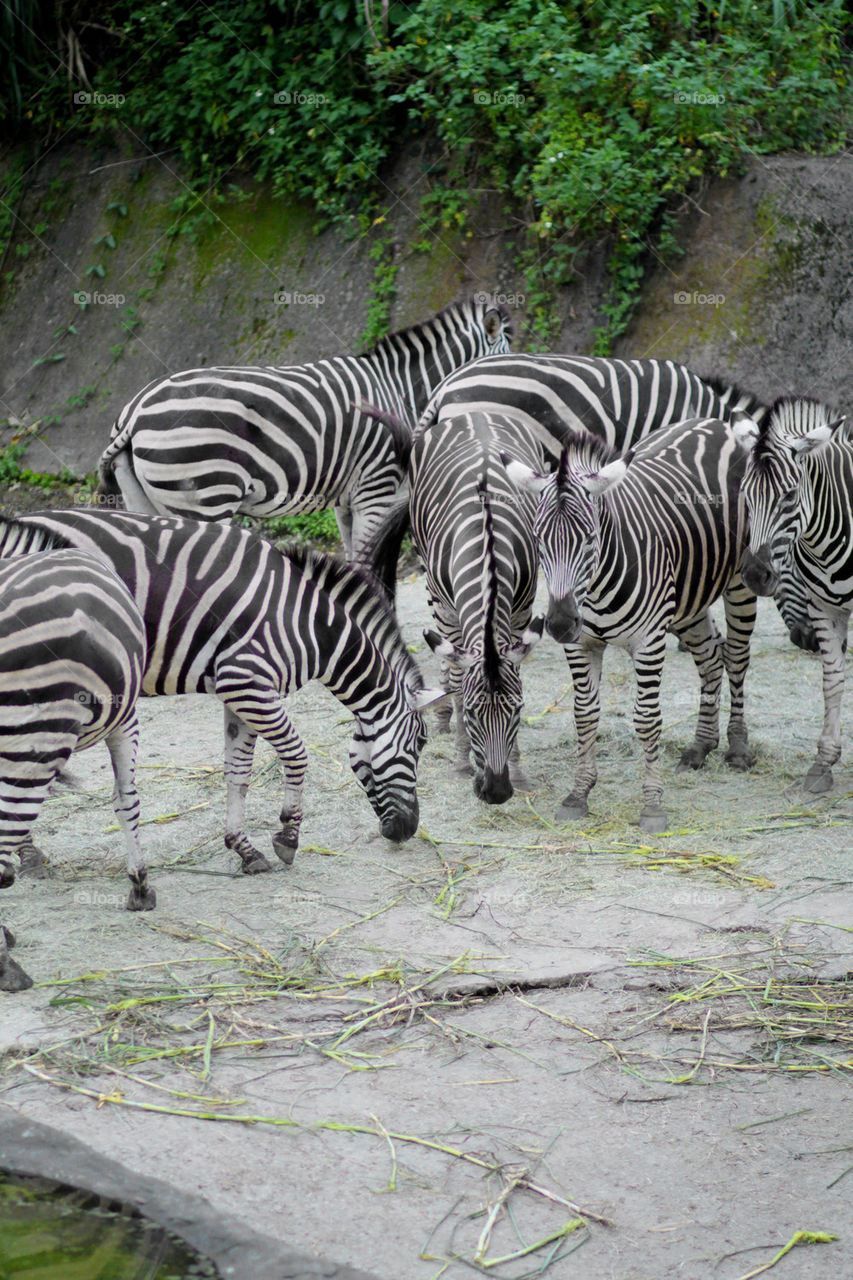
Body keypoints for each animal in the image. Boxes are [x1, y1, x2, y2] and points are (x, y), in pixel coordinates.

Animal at [0, 510, 442, 875]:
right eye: (419, 744)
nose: (407, 831)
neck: (313, 626)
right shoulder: (247, 681)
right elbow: (296, 755)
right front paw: (287, 838)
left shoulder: (242, 694)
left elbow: (238, 773)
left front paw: (243, 848)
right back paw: (28, 853)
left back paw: (27, 852)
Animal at [94, 297, 513, 560]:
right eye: (508, 356)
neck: (398, 388)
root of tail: (135, 411)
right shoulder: (376, 487)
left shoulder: (348, 498)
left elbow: (354, 562)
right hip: (205, 496)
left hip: (145, 500)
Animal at [363, 410, 544, 804]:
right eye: (474, 714)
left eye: (518, 710)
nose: (496, 792)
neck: (487, 543)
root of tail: (477, 413)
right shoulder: (448, 611)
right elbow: (460, 683)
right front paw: (461, 760)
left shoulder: (522, 610)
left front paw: (518, 769)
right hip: (431, 585)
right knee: (448, 661)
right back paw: (443, 713)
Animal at [503, 416, 756, 832]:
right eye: (538, 540)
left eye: (590, 540)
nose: (559, 624)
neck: (597, 588)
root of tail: (714, 421)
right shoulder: (581, 644)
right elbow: (584, 715)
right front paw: (578, 793)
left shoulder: (649, 641)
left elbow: (648, 719)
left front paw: (652, 805)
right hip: (689, 598)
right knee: (709, 657)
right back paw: (701, 746)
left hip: (740, 579)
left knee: (735, 656)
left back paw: (737, 747)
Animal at [734, 397, 849, 794]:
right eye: (745, 494)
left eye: (788, 495)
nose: (754, 575)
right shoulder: (824, 608)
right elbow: (832, 681)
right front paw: (823, 763)